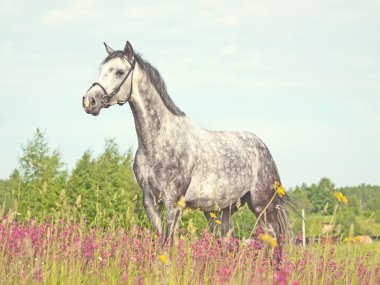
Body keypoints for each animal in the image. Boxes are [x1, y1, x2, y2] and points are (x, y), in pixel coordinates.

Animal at [81, 40, 292, 251]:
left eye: (119, 72)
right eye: (102, 70)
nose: (89, 101)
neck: (158, 143)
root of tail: (262, 147)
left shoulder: (173, 203)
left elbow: (168, 243)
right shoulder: (150, 202)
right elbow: (160, 241)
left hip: (263, 207)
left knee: (275, 243)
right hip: (221, 211)